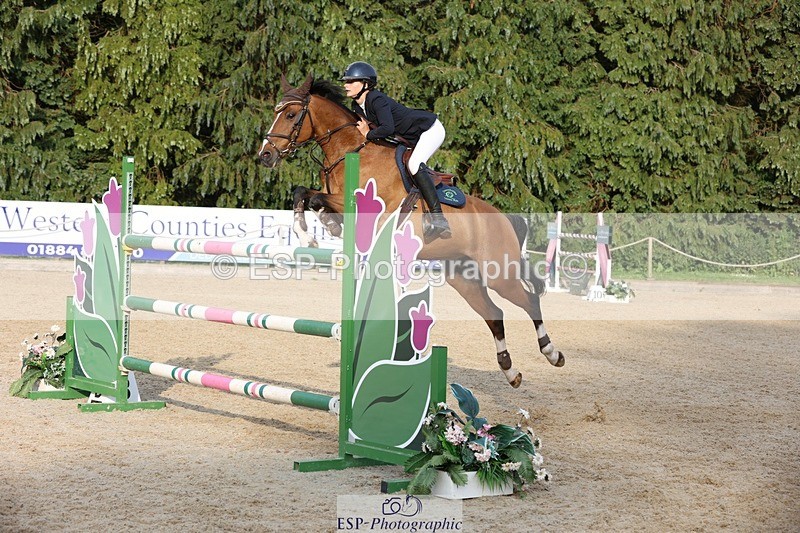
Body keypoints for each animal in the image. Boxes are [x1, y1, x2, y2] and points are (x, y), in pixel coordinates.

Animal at [257, 73, 565, 388]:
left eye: (291, 115)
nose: (265, 156)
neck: (349, 152)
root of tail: (504, 218)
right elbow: (304, 193)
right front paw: (309, 231)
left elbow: (317, 199)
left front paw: (316, 229)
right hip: (463, 278)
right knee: (495, 314)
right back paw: (510, 370)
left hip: (499, 274)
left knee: (529, 301)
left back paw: (552, 353)